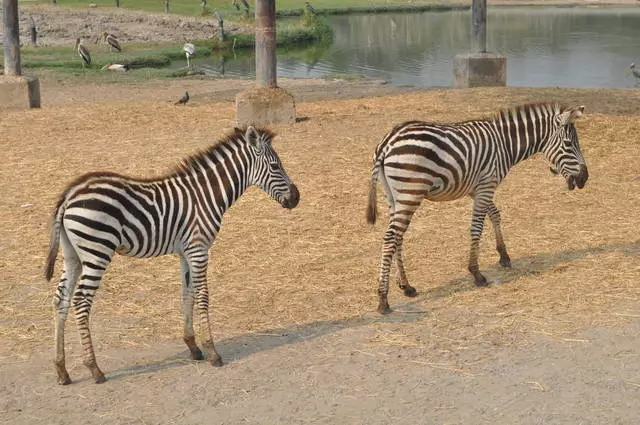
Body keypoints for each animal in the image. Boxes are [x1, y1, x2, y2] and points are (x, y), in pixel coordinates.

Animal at [45, 124, 300, 382]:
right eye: (276, 166)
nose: (296, 198)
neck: (207, 195)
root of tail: (69, 195)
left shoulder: (186, 252)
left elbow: (187, 294)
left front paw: (193, 346)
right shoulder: (199, 249)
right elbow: (203, 296)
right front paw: (212, 352)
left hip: (73, 256)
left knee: (60, 300)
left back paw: (61, 369)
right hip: (97, 250)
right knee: (81, 300)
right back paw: (94, 368)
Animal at [364, 102, 592, 314]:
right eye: (569, 144)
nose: (584, 179)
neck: (505, 144)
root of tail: (387, 142)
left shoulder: (479, 188)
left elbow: (495, 215)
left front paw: (504, 255)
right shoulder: (486, 185)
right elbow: (477, 229)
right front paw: (476, 273)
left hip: (394, 196)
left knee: (398, 237)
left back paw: (406, 286)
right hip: (410, 192)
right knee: (390, 238)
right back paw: (383, 299)